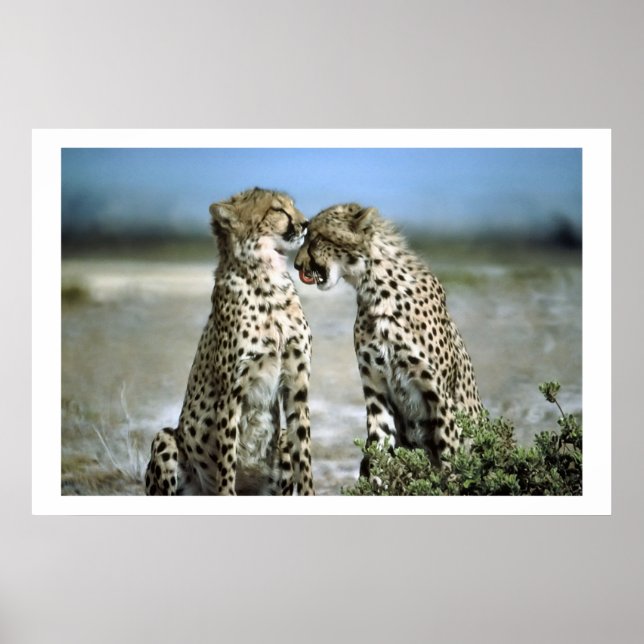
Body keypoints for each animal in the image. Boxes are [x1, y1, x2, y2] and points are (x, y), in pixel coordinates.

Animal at [145, 188, 314, 495]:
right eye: (278, 210)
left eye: (292, 206)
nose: (305, 223)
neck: (267, 279)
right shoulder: (231, 392)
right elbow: (227, 459)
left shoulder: (297, 383)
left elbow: (304, 454)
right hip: (166, 439)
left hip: (280, 449)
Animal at [294, 203, 483, 473]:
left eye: (317, 238)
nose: (297, 265)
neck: (376, 290)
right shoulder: (377, 390)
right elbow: (377, 449)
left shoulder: (441, 398)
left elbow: (450, 458)